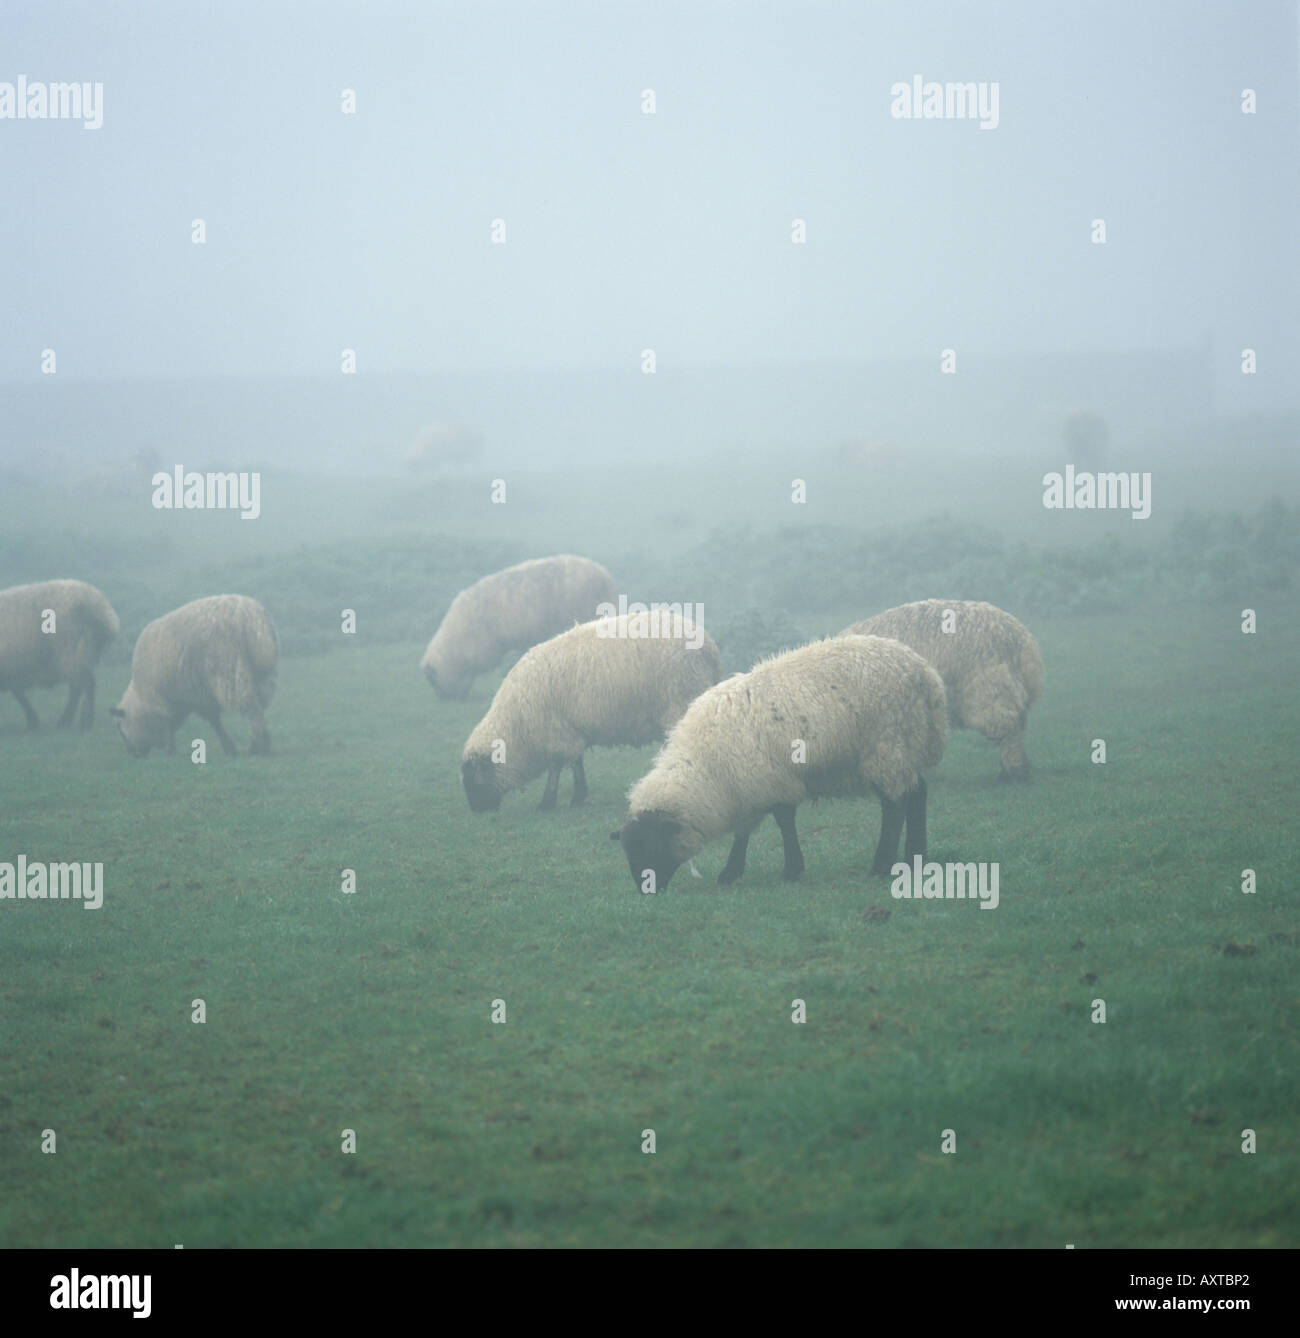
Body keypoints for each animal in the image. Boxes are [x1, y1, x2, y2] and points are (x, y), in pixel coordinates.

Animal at [0, 579, 120, 730]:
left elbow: (19, 694)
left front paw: (32, 720)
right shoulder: (13, 671)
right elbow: (19, 693)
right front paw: (33, 720)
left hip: (70, 653)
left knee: (85, 685)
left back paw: (82, 722)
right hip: (80, 655)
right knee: (79, 687)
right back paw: (69, 721)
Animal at [110, 595, 278, 757]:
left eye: (119, 727)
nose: (133, 753)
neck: (141, 698)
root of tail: (254, 620)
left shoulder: (166, 701)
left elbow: (172, 725)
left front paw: (170, 750)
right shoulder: (196, 697)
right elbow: (211, 721)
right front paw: (229, 747)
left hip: (232, 673)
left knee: (252, 709)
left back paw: (258, 746)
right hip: (262, 675)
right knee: (259, 708)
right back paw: (263, 742)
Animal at [461, 612, 722, 812]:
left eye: (473, 780)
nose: (477, 811)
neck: (517, 725)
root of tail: (710, 647)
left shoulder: (556, 732)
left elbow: (557, 766)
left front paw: (548, 802)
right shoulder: (569, 731)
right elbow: (576, 762)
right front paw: (579, 796)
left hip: (679, 698)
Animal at [612, 634, 947, 892]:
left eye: (651, 844)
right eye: (628, 848)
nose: (645, 891)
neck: (707, 769)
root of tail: (925, 674)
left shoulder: (770, 781)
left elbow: (783, 821)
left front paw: (790, 870)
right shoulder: (747, 788)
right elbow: (745, 830)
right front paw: (731, 872)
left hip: (886, 745)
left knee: (894, 806)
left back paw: (882, 864)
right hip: (902, 747)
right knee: (917, 792)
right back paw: (915, 857)